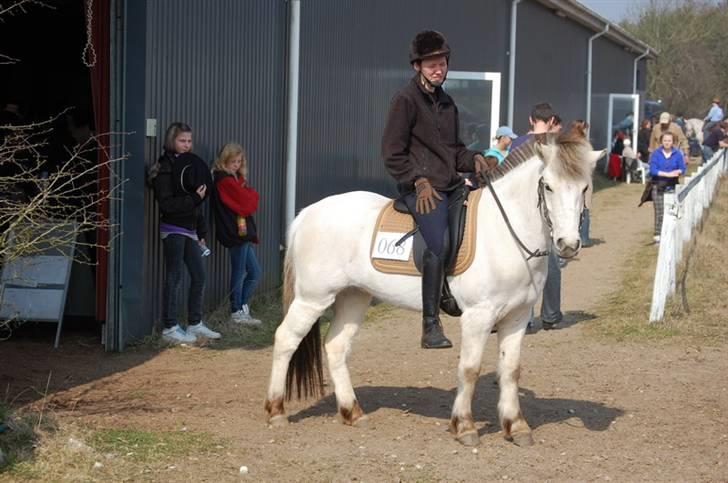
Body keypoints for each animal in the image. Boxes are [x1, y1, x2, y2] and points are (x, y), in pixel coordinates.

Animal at [264, 131, 600, 446]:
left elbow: (511, 370)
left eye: (585, 187)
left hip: (353, 297)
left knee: (335, 347)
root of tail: (307, 213)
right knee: (286, 339)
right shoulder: (478, 316)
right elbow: (470, 368)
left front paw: (516, 426)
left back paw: (352, 412)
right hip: (313, 298)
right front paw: (464, 426)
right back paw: (276, 410)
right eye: (548, 186)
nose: (567, 245)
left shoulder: (516, 317)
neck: (507, 233)